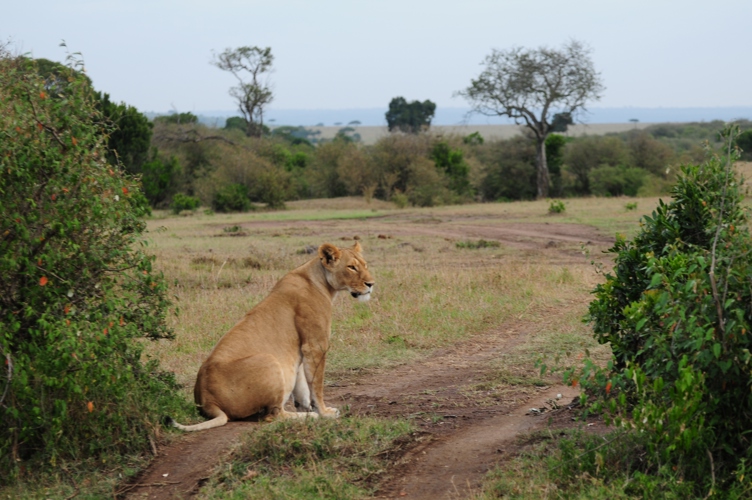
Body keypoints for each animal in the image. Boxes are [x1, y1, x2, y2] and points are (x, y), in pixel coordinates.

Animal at [167, 241, 374, 430]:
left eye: (365, 265)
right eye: (351, 267)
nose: (371, 284)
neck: (320, 281)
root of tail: (207, 400)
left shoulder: (301, 349)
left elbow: (302, 386)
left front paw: (306, 407)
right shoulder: (316, 345)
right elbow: (316, 385)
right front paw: (323, 412)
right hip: (269, 360)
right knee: (272, 416)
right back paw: (308, 417)